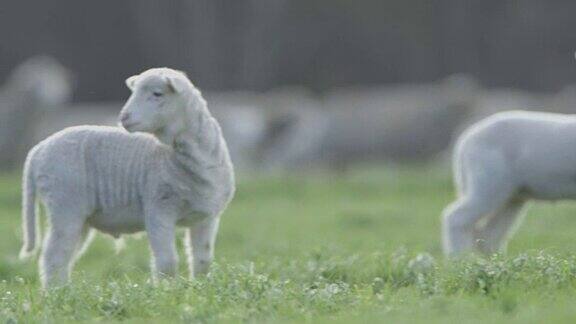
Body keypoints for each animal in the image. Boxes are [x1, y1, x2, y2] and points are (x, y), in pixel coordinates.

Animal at [20, 67, 235, 286]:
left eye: (157, 94)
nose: (124, 117)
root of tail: (37, 151)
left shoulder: (206, 216)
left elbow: (202, 259)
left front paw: (200, 285)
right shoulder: (158, 208)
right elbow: (167, 261)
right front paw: (167, 289)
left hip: (79, 216)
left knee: (64, 256)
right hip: (64, 204)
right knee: (54, 255)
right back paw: (56, 291)